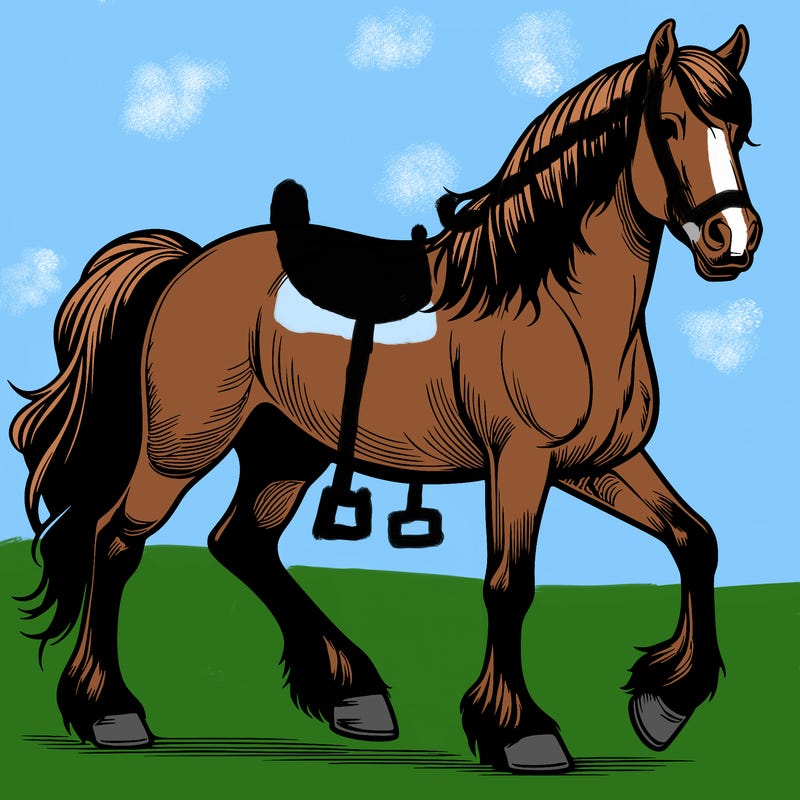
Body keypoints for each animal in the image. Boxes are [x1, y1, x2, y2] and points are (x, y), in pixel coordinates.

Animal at [10, 20, 761, 773]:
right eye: (667, 125)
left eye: (741, 131)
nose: (733, 239)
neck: (551, 300)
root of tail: (188, 263)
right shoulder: (521, 462)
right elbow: (509, 585)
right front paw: (521, 731)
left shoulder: (598, 463)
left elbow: (696, 540)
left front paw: (665, 702)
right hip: (182, 447)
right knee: (115, 541)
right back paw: (110, 712)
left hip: (286, 449)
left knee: (242, 542)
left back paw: (353, 692)